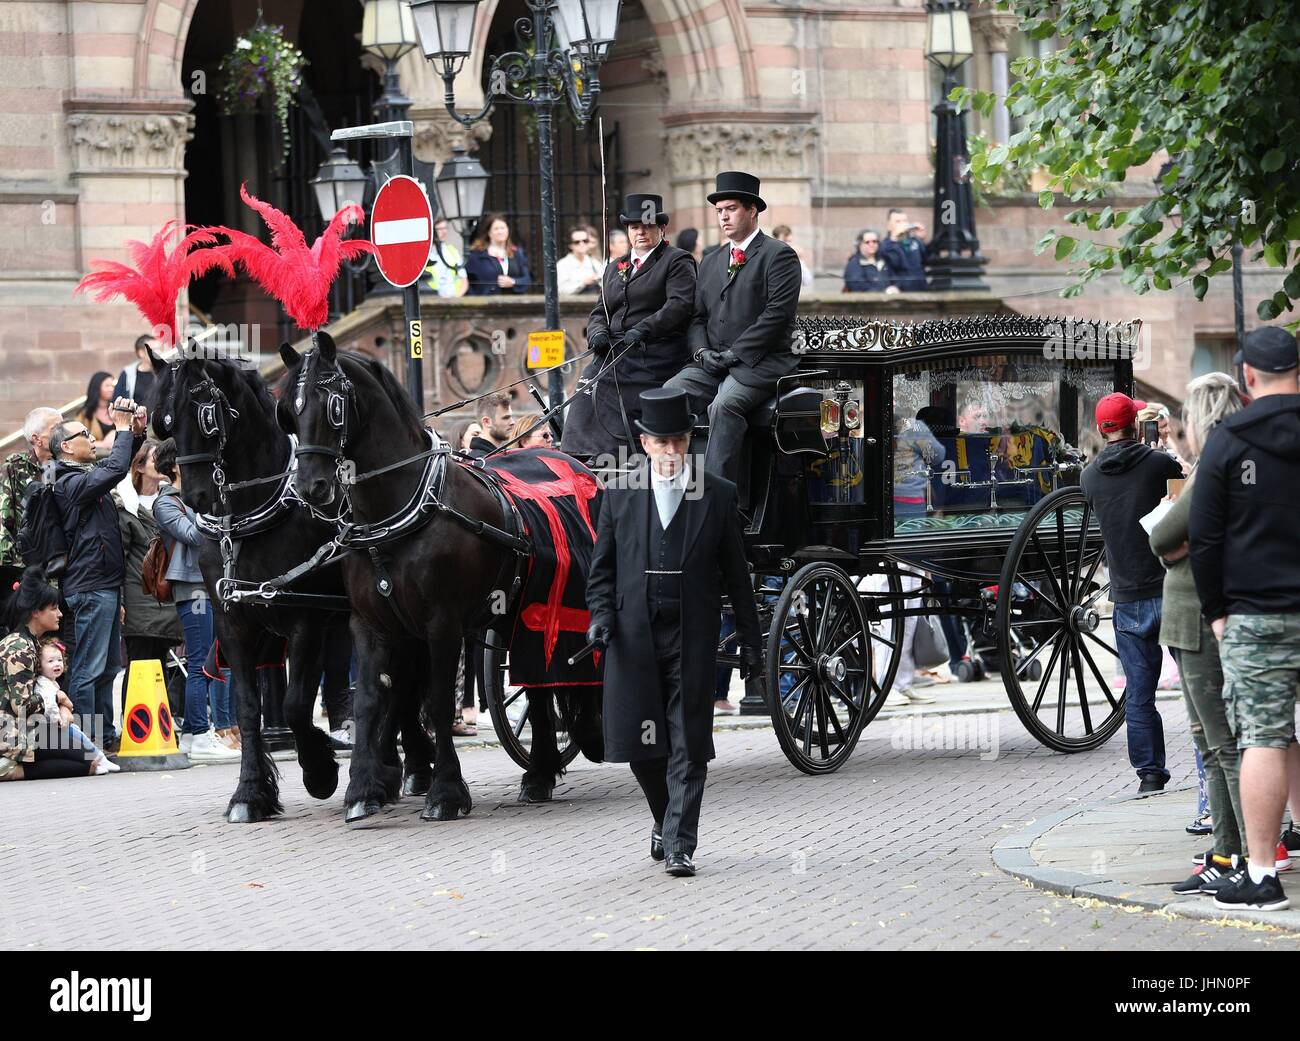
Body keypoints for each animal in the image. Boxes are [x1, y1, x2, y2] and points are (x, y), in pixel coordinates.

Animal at [150, 348, 436, 821]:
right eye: (165, 420)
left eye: (206, 414)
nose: (194, 498)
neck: (250, 519)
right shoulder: (232, 621)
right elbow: (248, 707)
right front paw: (250, 793)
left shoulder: (306, 617)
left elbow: (295, 704)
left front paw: (319, 769)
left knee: (400, 682)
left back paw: (401, 766)